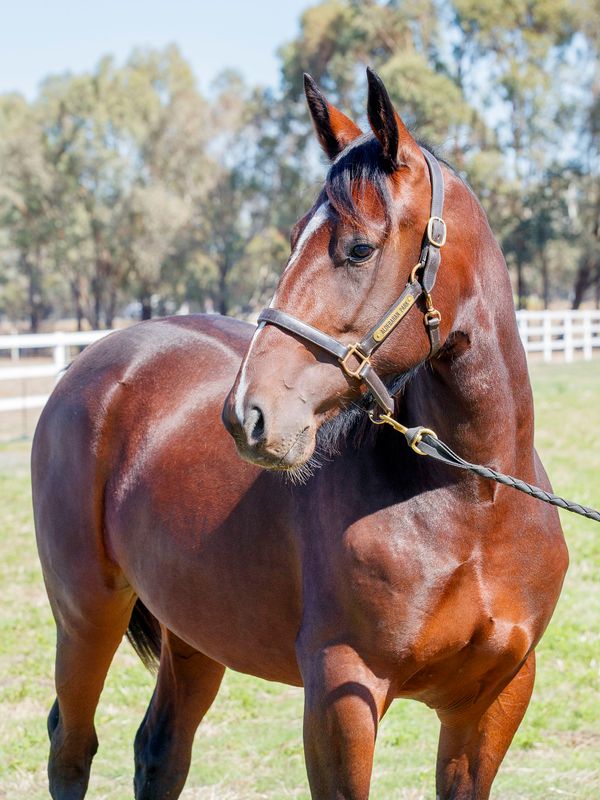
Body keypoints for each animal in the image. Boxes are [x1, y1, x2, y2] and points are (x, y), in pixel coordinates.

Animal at [32, 68, 568, 800]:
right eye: (292, 237)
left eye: (359, 248)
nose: (247, 415)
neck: (475, 502)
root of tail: (95, 360)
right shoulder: (342, 695)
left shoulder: (496, 697)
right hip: (86, 614)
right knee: (72, 746)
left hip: (195, 631)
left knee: (159, 751)